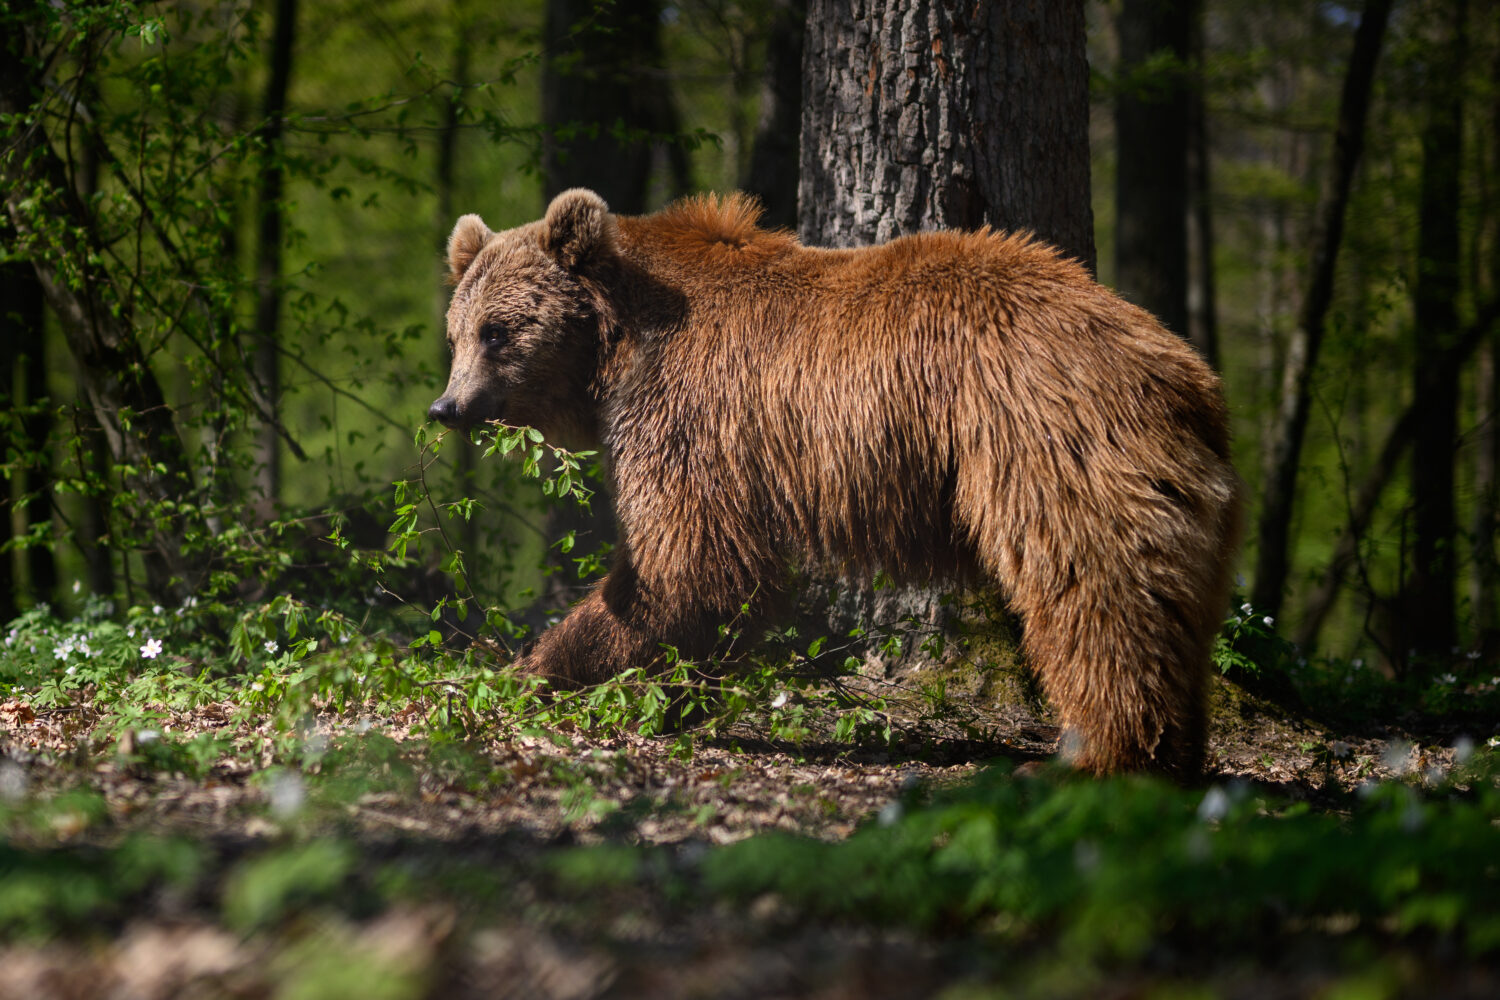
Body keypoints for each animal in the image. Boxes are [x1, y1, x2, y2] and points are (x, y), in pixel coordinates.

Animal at [428, 188, 1241, 776]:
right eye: (457, 332)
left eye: (499, 331)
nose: (447, 406)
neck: (619, 344)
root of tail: (1184, 372)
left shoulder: (690, 408)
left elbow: (688, 563)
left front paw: (543, 670)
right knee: (1170, 603)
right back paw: (1174, 751)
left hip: (1041, 441)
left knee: (1094, 589)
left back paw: (1097, 754)